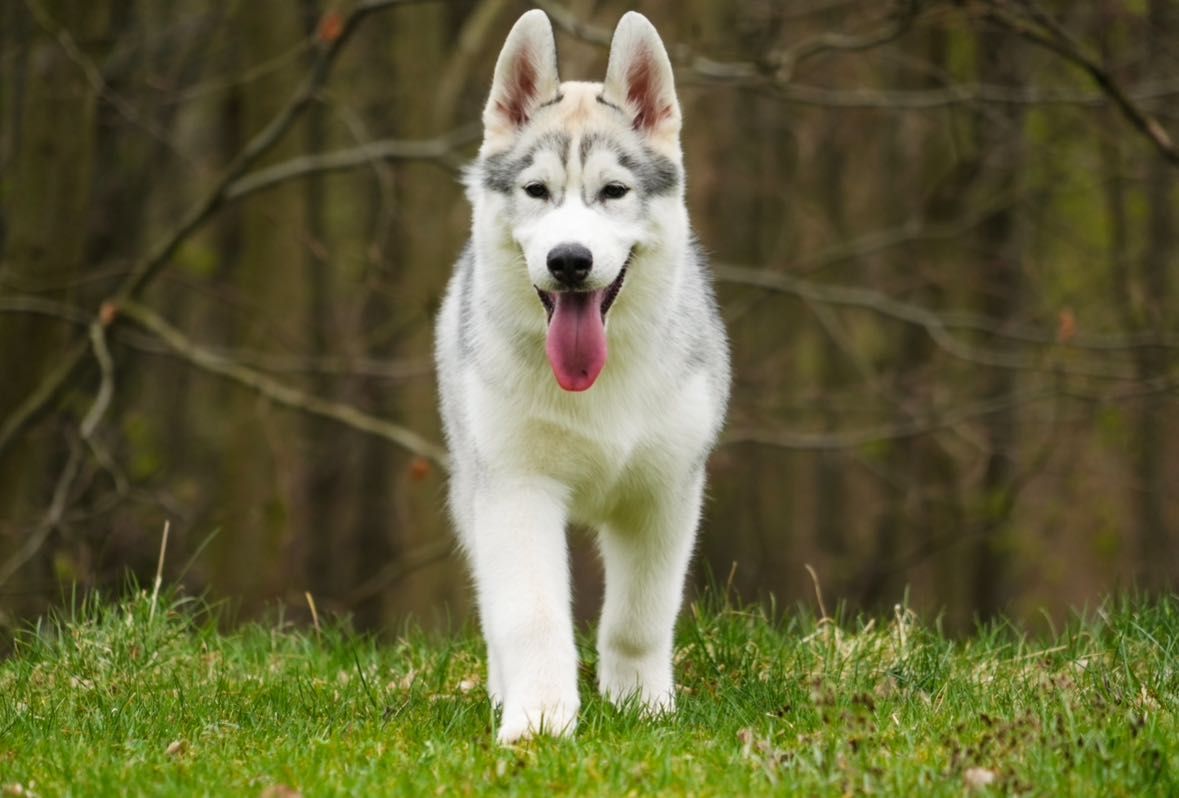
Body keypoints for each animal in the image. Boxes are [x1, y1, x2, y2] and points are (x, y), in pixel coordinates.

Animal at [433, 7, 726, 740]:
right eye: (536, 191)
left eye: (613, 192)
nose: (569, 260)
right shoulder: (515, 488)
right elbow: (530, 617)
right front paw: (538, 724)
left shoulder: (665, 493)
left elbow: (639, 620)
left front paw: (643, 707)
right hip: (471, 484)